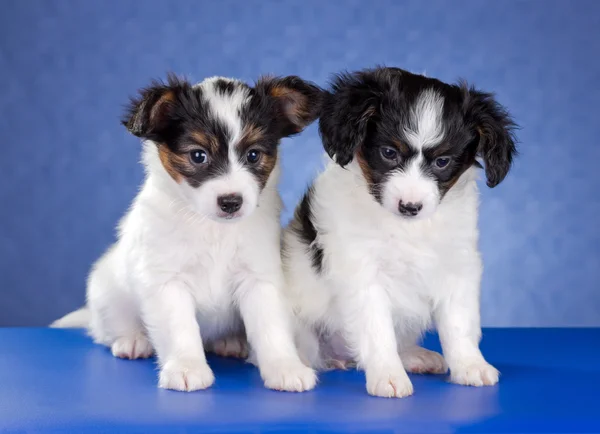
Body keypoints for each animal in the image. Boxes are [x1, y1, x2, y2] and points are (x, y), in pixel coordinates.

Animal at [52, 73, 324, 394]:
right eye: (198, 156)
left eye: (253, 155)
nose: (231, 202)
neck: (213, 228)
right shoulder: (168, 282)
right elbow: (180, 328)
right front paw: (186, 367)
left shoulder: (259, 278)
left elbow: (272, 328)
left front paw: (285, 367)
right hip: (107, 292)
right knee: (107, 330)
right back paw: (132, 340)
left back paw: (230, 342)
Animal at [284, 67, 516, 396]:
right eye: (389, 152)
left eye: (442, 161)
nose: (410, 206)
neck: (406, 228)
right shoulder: (362, 271)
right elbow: (377, 329)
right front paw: (388, 374)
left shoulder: (457, 266)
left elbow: (460, 323)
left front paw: (470, 365)